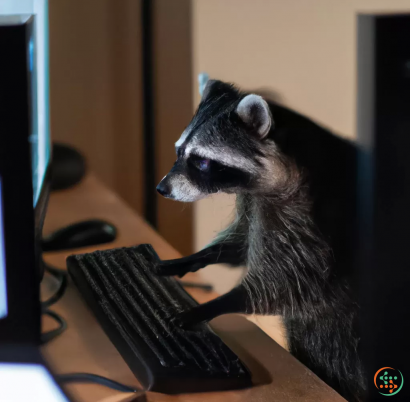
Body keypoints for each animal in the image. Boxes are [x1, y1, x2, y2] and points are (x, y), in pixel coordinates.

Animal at [156, 80, 366, 400]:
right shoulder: (257, 207)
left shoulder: (315, 230)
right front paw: (198, 257)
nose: (161, 189)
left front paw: (216, 304)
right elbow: (242, 244)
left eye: (202, 161)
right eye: (179, 152)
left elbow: (289, 284)